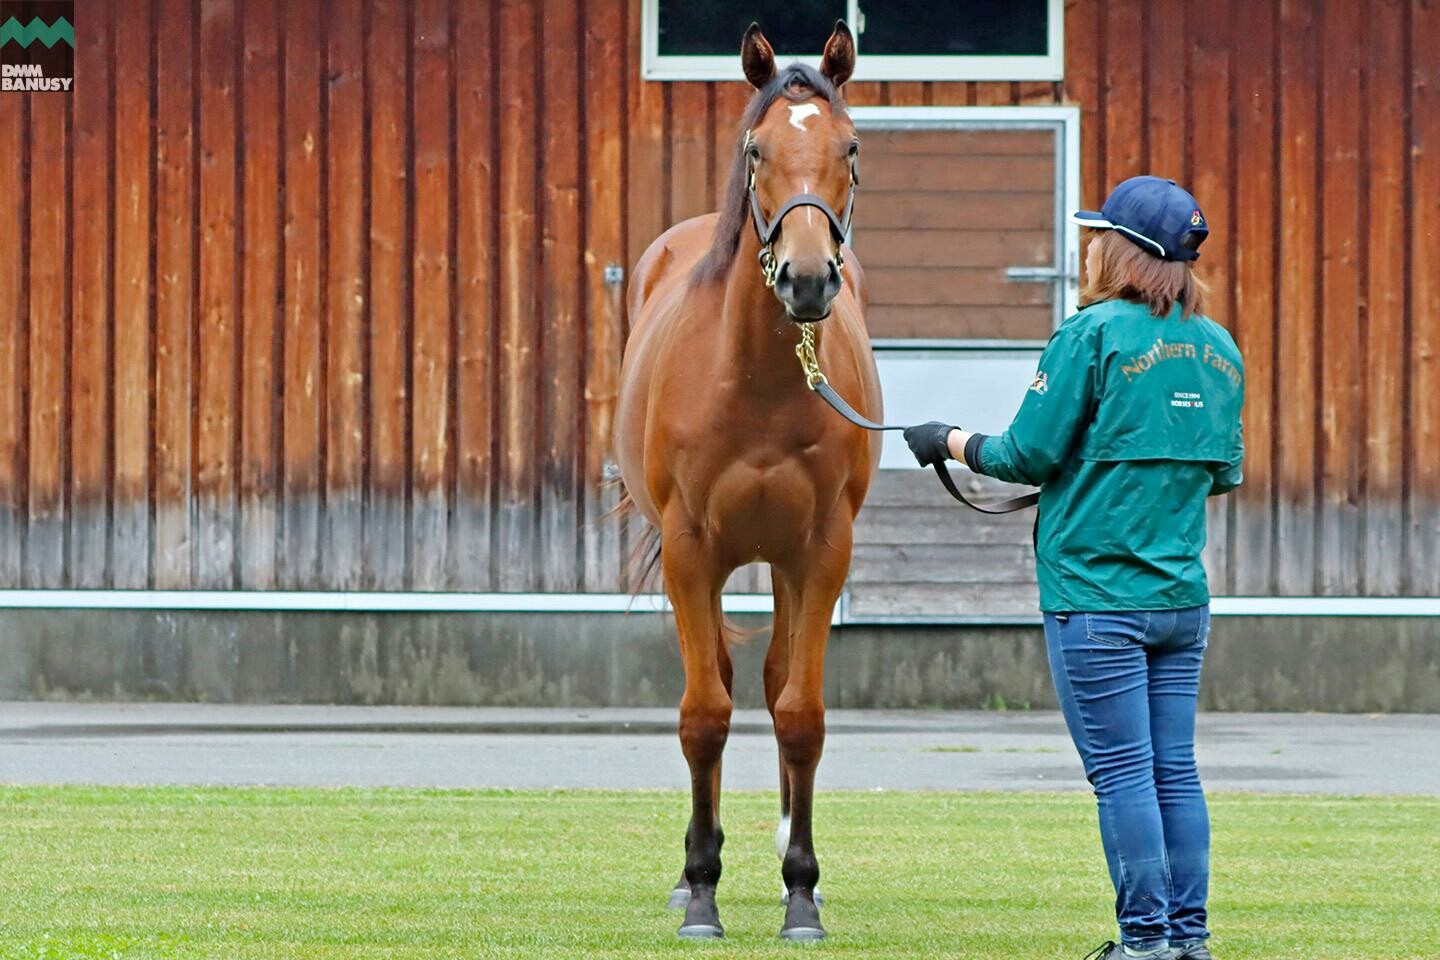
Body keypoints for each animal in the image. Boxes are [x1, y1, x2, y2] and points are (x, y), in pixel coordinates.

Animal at [610, 20, 875, 938]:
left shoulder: (821, 552)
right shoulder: (692, 550)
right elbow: (704, 716)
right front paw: (700, 892)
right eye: (757, 149)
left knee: (773, 682)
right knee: (722, 686)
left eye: (850, 147)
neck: (757, 381)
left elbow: (799, 715)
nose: (808, 278)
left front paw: (801, 892)